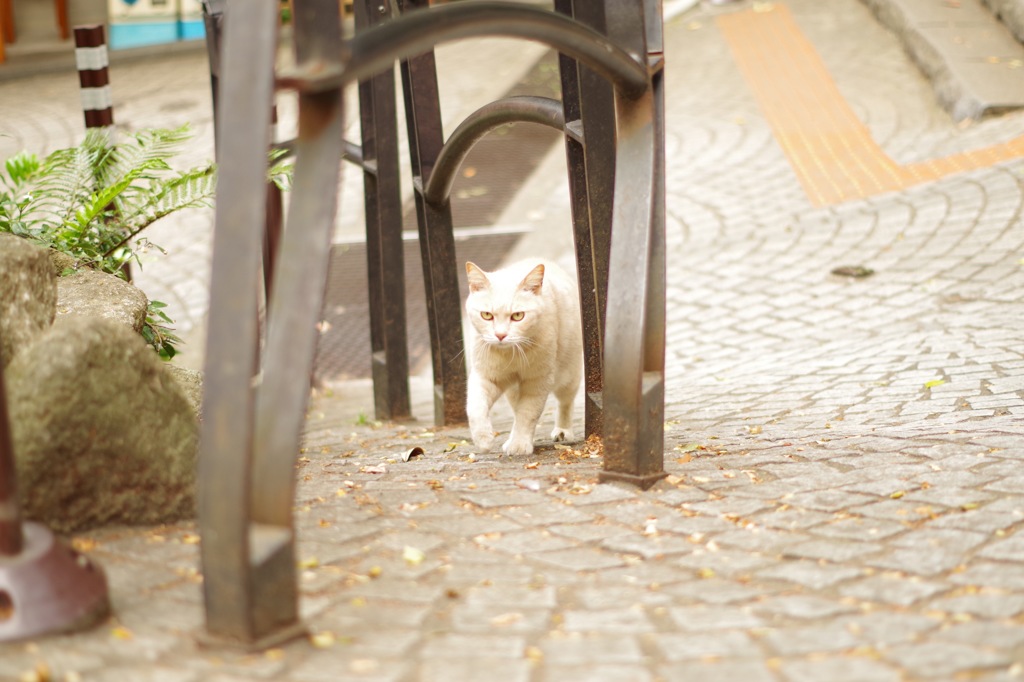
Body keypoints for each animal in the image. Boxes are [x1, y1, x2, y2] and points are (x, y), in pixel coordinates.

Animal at [466, 258, 581, 454]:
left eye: (518, 316)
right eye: (486, 315)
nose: (500, 335)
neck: (510, 354)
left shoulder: (538, 381)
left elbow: (528, 413)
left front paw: (519, 445)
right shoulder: (486, 376)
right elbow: (475, 406)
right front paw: (484, 439)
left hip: (568, 377)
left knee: (565, 403)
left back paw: (563, 431)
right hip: (513, 391)